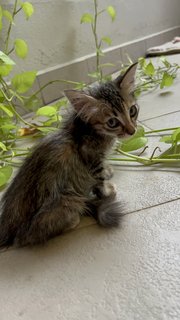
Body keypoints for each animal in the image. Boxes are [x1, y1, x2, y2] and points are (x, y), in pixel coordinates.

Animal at [0, 62, 139, 248]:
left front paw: (109, 170)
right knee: (28, 238)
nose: (132, 131)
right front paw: (107, 191)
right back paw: (72, 220)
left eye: (132, 111)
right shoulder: (91, 158)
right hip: (67, 198)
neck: (86, 129)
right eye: (112, 122)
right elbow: (99, 179)